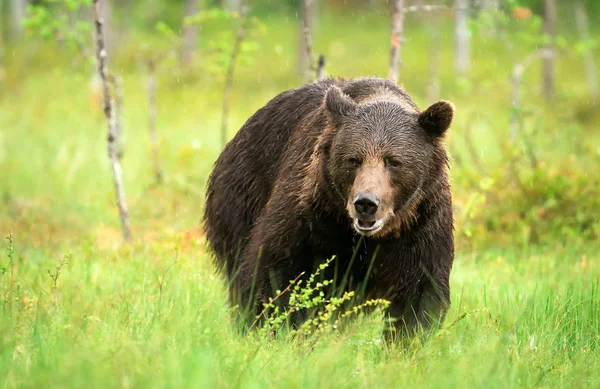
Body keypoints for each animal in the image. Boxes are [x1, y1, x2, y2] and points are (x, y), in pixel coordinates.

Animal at [205, 77, 454, 334]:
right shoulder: (311, 214)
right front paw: (272, 327)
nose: (366, 203)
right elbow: (274, 270)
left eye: (394, 161)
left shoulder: (420, 226)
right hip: (240, 198)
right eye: (353, 159)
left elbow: (420, 294)